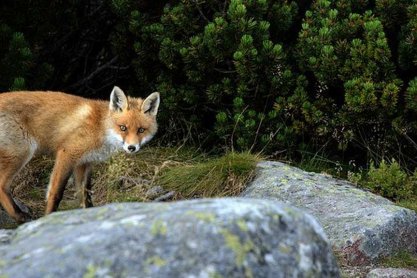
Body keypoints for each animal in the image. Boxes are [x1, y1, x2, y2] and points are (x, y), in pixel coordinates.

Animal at [0, 87, 159, 224]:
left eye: (141, 130)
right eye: (123, 128)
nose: (132, 147)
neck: (100, 128)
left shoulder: (84, 163)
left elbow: (86, 196)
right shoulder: (67, 154)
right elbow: (55, 193)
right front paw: (48, 217)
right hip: (21, 153)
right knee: (2, 185)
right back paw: (19, 216)